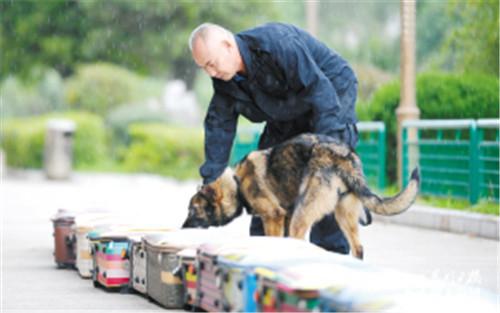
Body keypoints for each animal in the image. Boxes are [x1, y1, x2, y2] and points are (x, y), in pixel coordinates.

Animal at [183, 133, 418, 258]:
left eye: (193, 210)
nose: (182, 229)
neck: (237, 182)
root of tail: (344, 157)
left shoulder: (274, 217)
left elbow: (273, 240)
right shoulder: (284, 218)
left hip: (301, 216)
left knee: (299, 240)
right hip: (343, 216)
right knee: (358, 248)